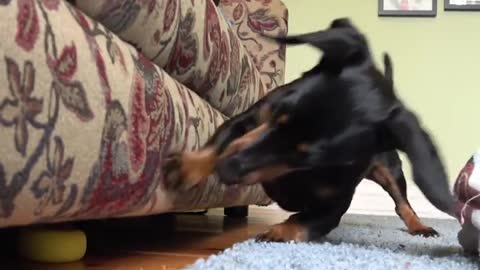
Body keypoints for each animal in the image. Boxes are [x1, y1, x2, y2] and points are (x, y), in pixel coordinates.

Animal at [163, 18, 456, 243]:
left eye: (307, 157)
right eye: (279, 113)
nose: (227, 168)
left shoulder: (335, 205)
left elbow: (307, 220)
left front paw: (279, 232)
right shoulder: (248, 121)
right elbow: (218, 143)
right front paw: (188, 167)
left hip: (390, 169)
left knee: (402, 203)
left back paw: (419, 226)